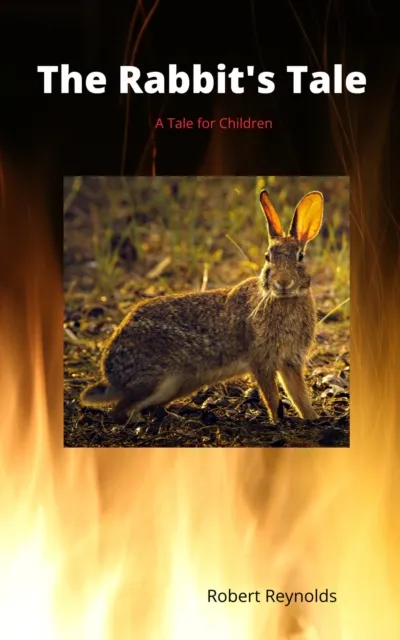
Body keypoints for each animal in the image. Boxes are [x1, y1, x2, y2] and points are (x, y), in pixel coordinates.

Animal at [80, 189, 324, 423]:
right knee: (119, 410)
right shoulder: (262, 361)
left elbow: (298, 395)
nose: (283, 283)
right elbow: (272, 397)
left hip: (175, 386)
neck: (284, 299)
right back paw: (138, 421)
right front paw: (278, 422)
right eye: (267, 257)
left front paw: (312, 418)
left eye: (300, 256)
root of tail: (111, 374)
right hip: (155, 380)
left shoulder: (291, 361)